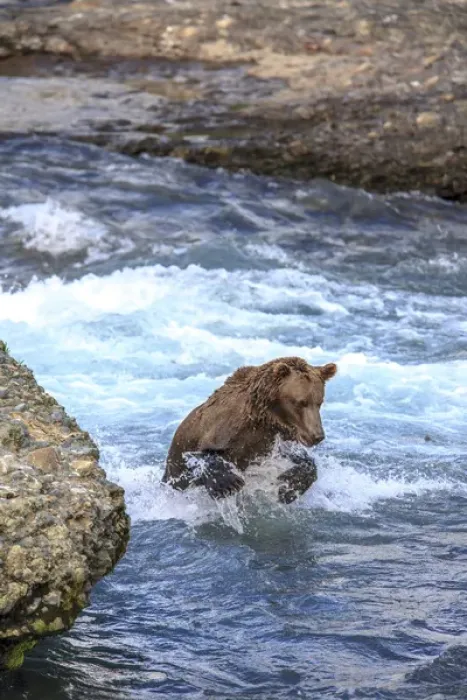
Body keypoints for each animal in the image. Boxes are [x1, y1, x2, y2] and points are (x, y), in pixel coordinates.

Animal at [162, 356, 337, 504]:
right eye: (300, 402)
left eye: (319, 402)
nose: (317, 436)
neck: (264, 417)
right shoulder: (221, 429)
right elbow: (199, 454)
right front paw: (228, 483)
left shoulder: (270, 442)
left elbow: (300, 460)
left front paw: (289, 487)